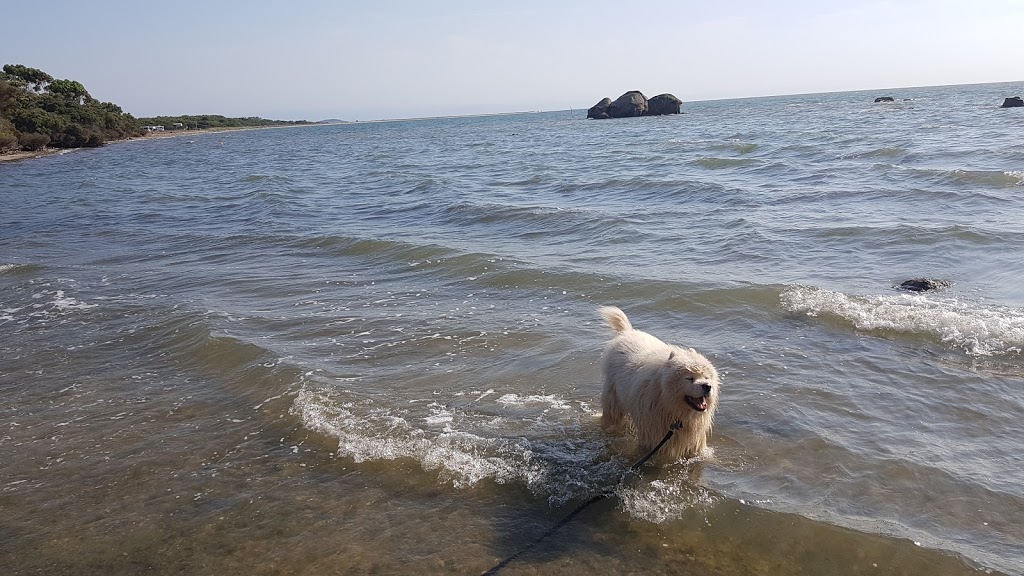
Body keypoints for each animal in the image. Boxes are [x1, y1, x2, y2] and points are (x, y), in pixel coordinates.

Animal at [598, 305, 720, 461]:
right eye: (689, 378)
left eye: (706, 377)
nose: (707, 386)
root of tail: (626, 332)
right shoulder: (655, 432)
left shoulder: (694, 436)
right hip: (614, 398)